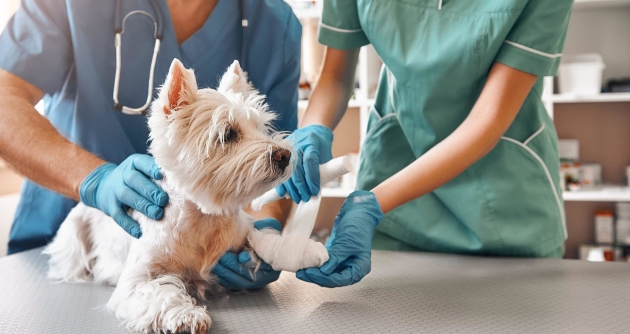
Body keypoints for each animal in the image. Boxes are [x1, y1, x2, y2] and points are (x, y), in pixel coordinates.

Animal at [43, 59, 296, 334]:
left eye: (260, 127)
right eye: (228, 134)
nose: (284, 155)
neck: (203, 220)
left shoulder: (242, 233)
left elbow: (260, 239)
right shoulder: (136, 281)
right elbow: (160, 294)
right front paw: (187, 315)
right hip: (74, 238)